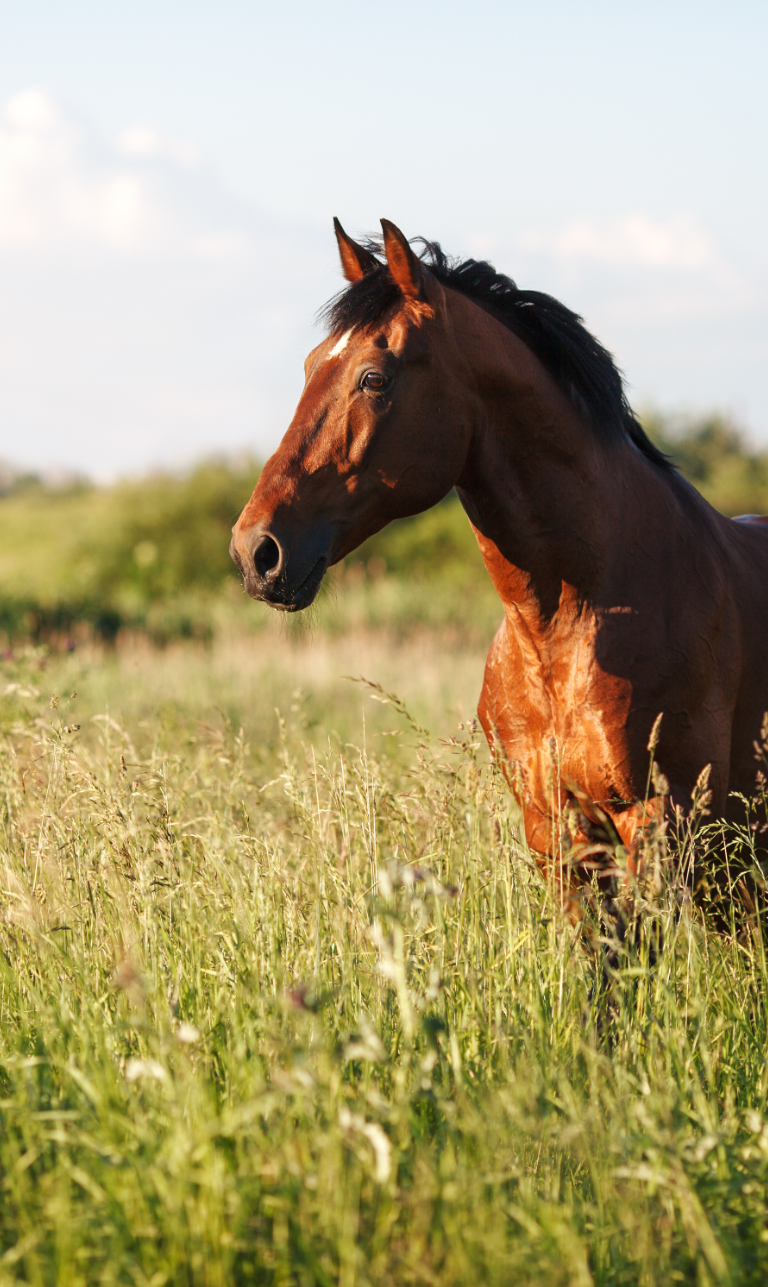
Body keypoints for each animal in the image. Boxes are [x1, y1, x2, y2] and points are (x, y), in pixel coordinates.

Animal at [230, 217, 768, 901]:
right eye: (308, 366)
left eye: (374, 377)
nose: (256, 551)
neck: (572, 628)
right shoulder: (556, 836)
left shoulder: (661, 830)